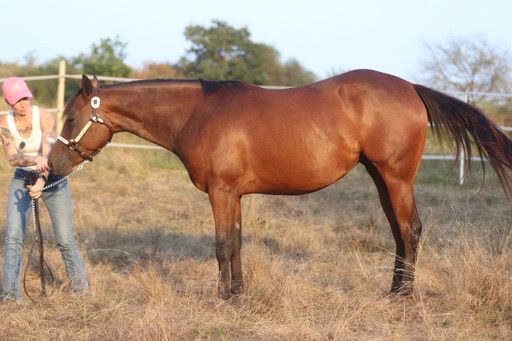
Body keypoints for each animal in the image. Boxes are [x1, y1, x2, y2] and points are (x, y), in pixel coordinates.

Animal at [49, 69, 512, 298]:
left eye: (70, 118)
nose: (51, 165)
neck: (198, 113)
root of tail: (410, 89)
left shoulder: (221, 192)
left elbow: (222, 245)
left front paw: (224, 297)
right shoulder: (233, 194)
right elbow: (236, 243)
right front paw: (238, 293)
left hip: (396, 177)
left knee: (411, 230)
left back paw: (403, 294)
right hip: (382, 179)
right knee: (400, 233)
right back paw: (394, 288)